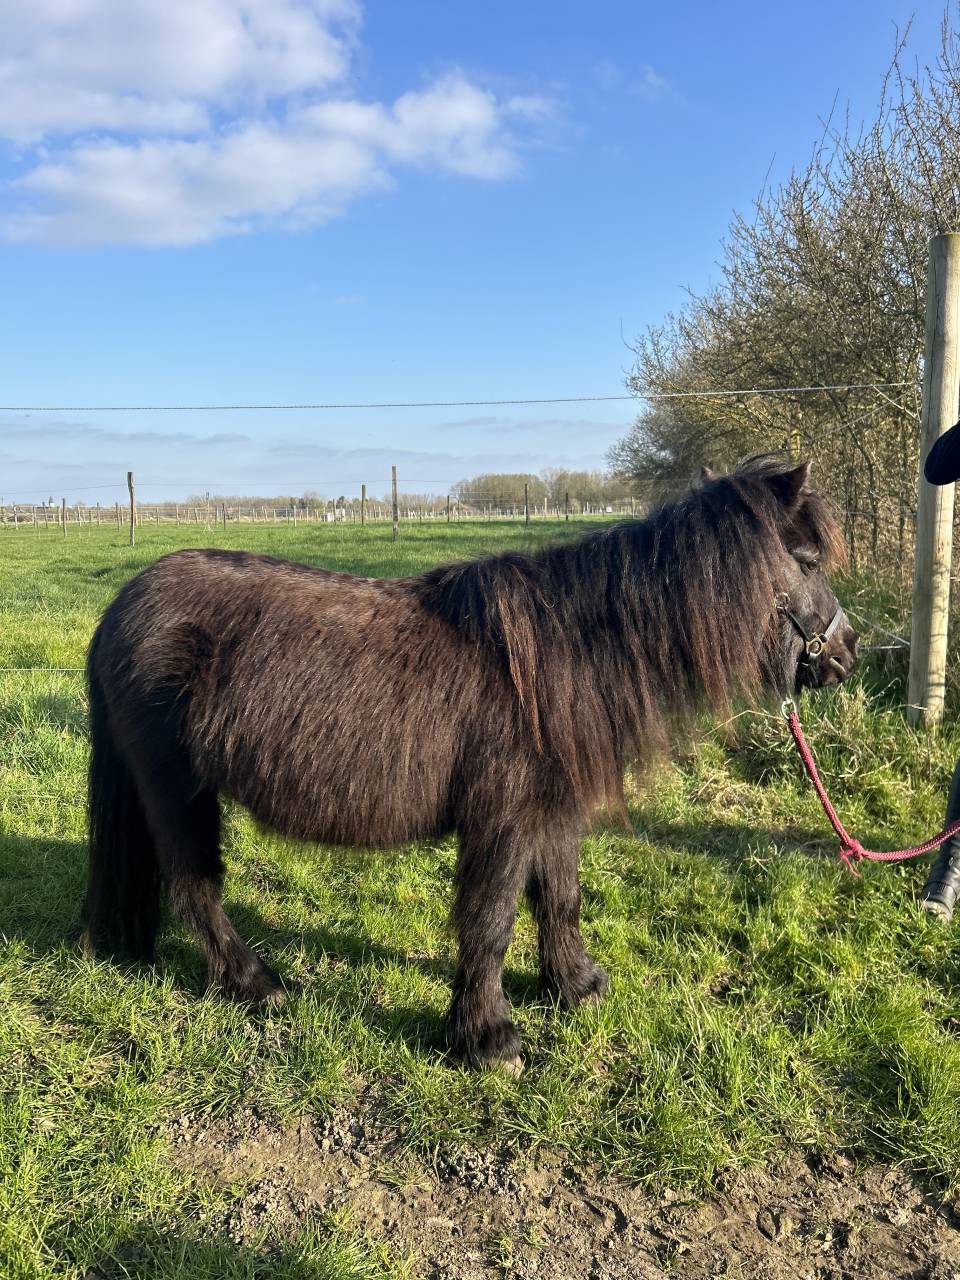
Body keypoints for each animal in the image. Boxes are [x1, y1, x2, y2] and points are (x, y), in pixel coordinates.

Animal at [83, 456, 857, 1070]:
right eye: (807, 560)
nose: (847, 653)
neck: (565, 656)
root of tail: (123, 604)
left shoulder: (551, 811)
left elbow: (560, 898)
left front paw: (575, 987)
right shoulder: (502, 822)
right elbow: (490, 922)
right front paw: (488, 1040)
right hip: (177, 790)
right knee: (196, 889)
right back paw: (257, 984)